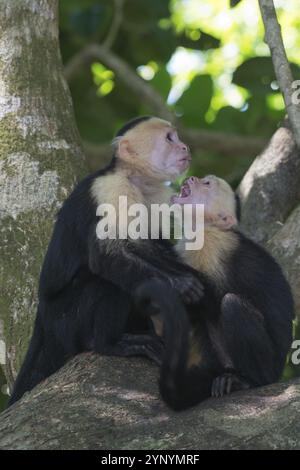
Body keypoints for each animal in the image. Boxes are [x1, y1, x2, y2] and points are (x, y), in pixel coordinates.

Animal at [8, 115, 204, 406]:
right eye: (170, 138)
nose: (184, 147)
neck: (136, 179)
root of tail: (42, 317)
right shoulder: (111, 189)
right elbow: (105, 254)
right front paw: (180, 286)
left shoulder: (157, 197)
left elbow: (152, 246)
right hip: (64, 321)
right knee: (106, 282)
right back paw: (109, 344)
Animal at [137, 174, 296, 410]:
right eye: (202, 179)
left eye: (207, 184)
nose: (192, 178)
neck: (205, 228)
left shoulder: (213, 247)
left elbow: (211, 300)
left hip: (270, 365)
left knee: (231, 304)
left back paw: (248, 380)